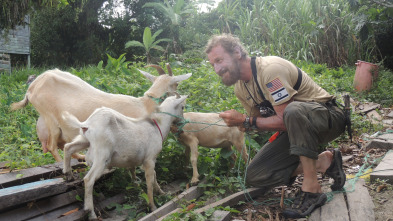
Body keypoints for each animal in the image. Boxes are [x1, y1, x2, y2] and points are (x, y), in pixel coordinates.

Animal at [11, 64, 191, 161]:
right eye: (176, 85)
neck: (145, 105)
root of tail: (32, 87)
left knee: (60, 145)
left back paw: (80, 157)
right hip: (51, 119)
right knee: (52, 146)